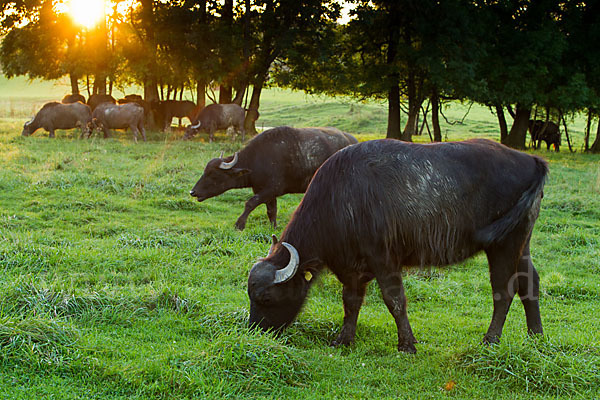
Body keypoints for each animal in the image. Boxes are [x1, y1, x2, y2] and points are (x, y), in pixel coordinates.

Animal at [189, 126, 356, 230]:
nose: (193, 192)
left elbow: (250, 203)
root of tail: (353, 141)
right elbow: (271, 211)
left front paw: (239, 224)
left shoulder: (271, 189)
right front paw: (273, 227)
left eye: (213, 174)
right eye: (205, 171)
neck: (257, 160)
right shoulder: (267, 192)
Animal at [248, 139, 548, 352]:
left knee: (504, 291)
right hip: (523, 241)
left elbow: (394, 300)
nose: (253, 331)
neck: (341, 199)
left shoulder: (384, 260)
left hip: (504, 244)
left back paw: (490, 340)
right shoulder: (352, 270)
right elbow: (350, 303)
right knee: (529, 283)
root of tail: (530, 159)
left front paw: (407, 343)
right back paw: (536, 337)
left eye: (266, 298)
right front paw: (344, 339)